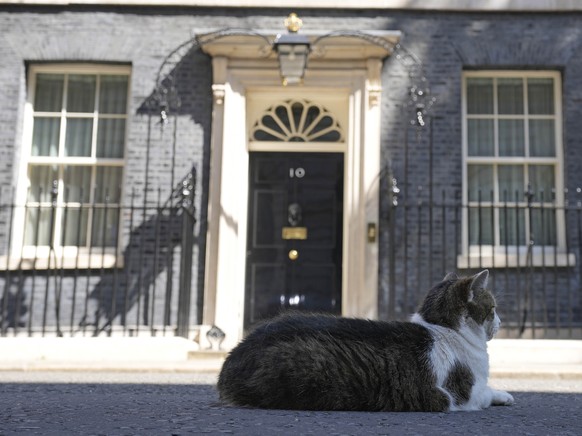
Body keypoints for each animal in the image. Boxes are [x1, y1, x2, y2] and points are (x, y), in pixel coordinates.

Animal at [218, 270, 516, 412]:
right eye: (493, 309)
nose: (501, 322)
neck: (441, 327)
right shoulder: (463, 394)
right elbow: (486, 392)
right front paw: (506, 395)